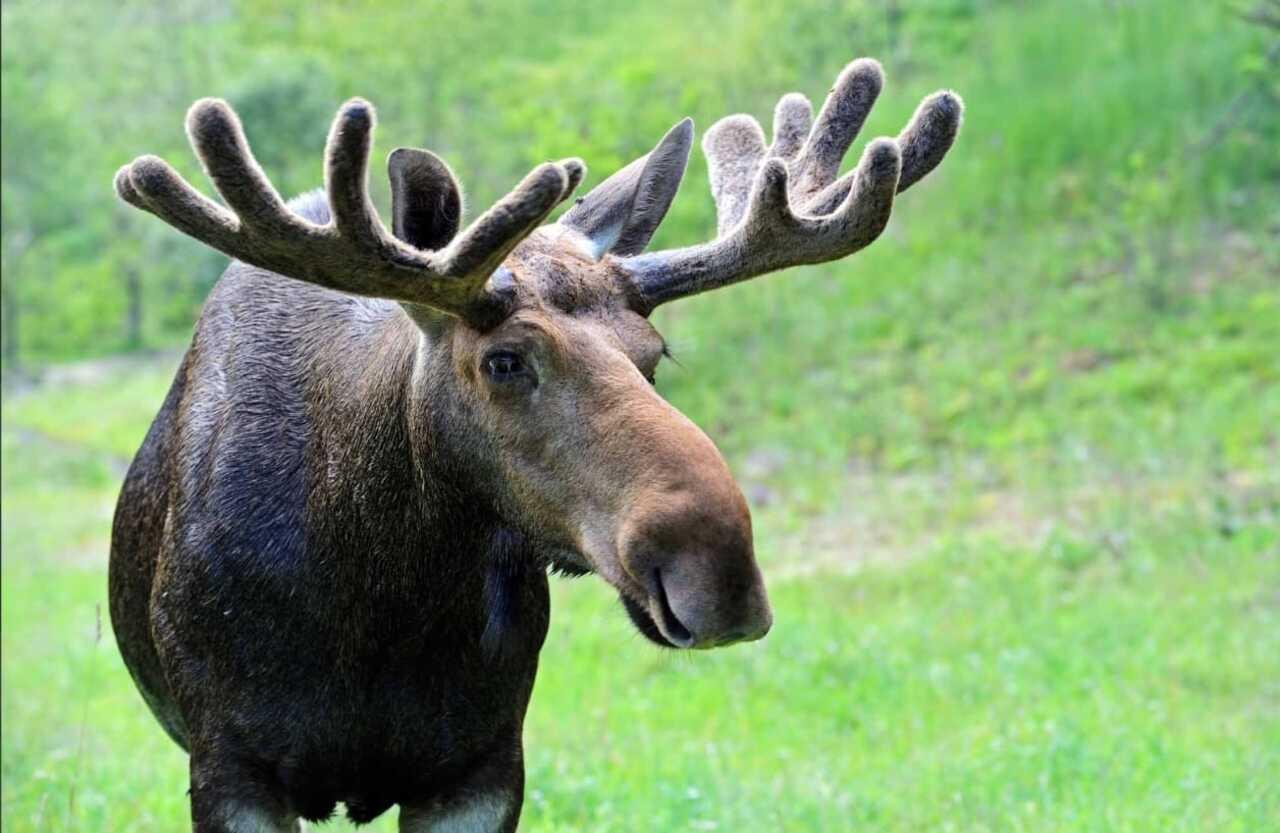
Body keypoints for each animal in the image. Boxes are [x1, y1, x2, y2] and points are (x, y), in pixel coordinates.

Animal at [108, 58, 961, 832]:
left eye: (654, 354)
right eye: (504, 360)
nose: (718, 571)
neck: (376, 591)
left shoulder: (481, 765)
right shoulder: (232, 765)